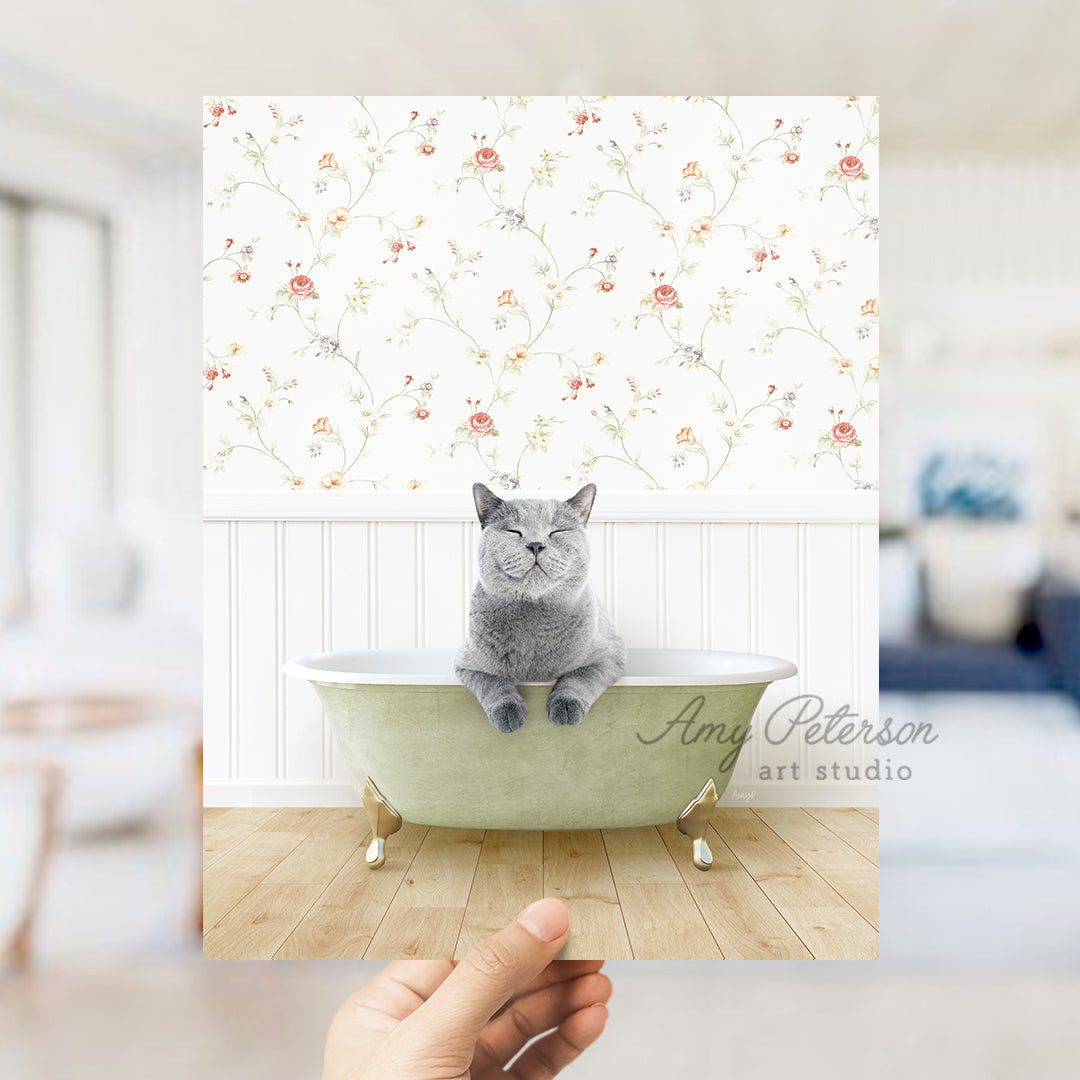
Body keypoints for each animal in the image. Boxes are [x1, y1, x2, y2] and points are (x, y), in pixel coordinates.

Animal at [453, 483, 626, 730]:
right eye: (514, 531)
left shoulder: (611, 655)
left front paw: (565, 706)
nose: (536, 544)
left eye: (557, 532)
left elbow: (579, 677)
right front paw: (509, 712)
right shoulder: (467, 664)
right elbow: (493, 682)